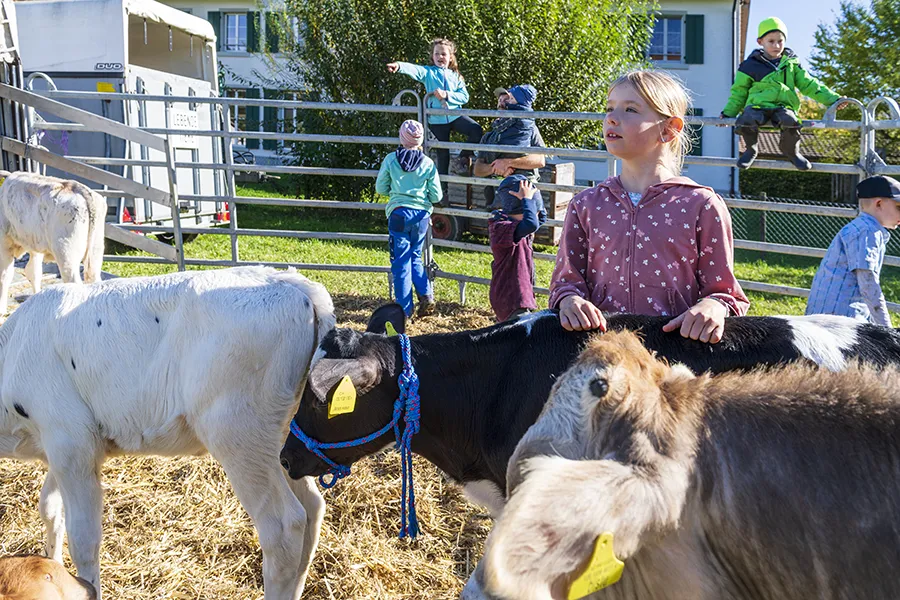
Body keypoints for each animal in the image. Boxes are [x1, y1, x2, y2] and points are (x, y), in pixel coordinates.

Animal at [0, 171, 105, 314]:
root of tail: (76, 187)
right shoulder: (35, 246)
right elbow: (34, 272)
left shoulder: (4, 242)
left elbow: (5, 276)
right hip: (96, 251)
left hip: (66, 255)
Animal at [0, 268, 334, 600]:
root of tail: (293, 283)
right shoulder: (58, 450)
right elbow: (49, 508)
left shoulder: (71, 442)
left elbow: (83, 539)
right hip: (284, 443)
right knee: (312, 508)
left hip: (239, 432)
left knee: (284, 526)